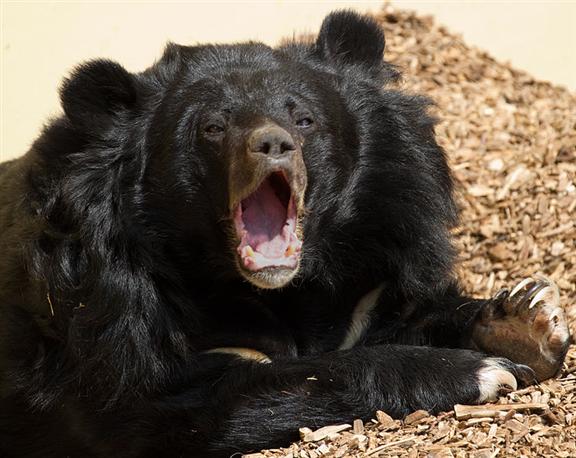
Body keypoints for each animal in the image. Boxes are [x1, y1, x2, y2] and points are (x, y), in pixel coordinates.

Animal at [0, 10, 568, 458]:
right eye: (213, 128)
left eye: (305, 119)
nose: (272, 143)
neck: (283, 289)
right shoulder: (108, 323)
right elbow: (250, 390)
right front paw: (478, 370)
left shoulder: (377, 258)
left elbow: (405, 313)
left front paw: (527, 319)